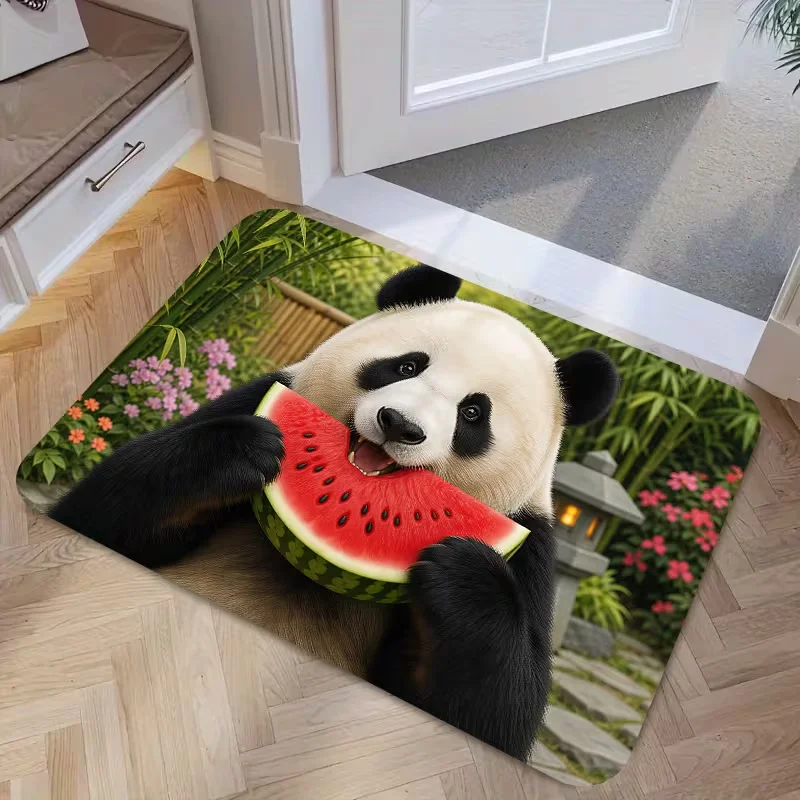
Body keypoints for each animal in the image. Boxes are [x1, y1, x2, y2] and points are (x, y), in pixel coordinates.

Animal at [49, 265, 619, 761]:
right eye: (406, 365)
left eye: (474, 413)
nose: (399, 424)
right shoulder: (264, 393)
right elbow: (99, 512)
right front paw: (238, 452)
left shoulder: (532, 541)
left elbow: (494, 716)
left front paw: (464, 572)